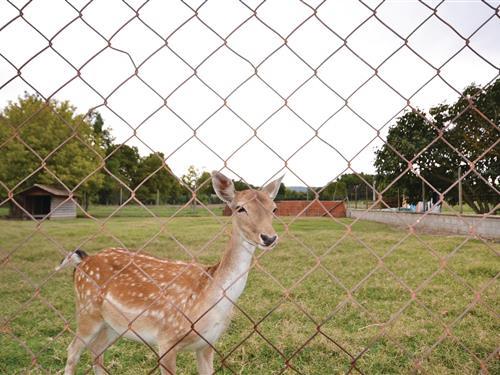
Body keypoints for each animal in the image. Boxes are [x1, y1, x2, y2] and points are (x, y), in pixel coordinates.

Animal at [57, 172, 282, 374]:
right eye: (240, 208)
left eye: (274, 208)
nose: (269, 237)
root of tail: (83, 261)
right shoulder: (166, 339)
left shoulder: (208, 343)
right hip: (87, 312)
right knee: (72, 351)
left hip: (113, 324)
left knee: (97, 351)